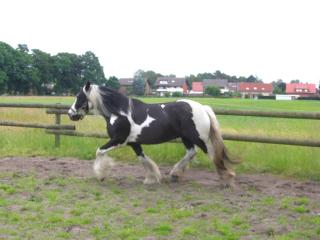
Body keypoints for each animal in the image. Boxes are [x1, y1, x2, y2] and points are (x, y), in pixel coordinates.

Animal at [67, 81, 236, 187]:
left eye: (79, 96)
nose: (70, 113)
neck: (119, 113)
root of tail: (202, 108)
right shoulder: (133, 143)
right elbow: (143, 159)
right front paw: (152, 178)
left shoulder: (118, 140)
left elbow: (99, 151)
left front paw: (101, 175)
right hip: (186, 138)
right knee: (191, 152)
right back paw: (175, 174)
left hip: (200, 138)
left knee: (213, 155)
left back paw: (226, 179)